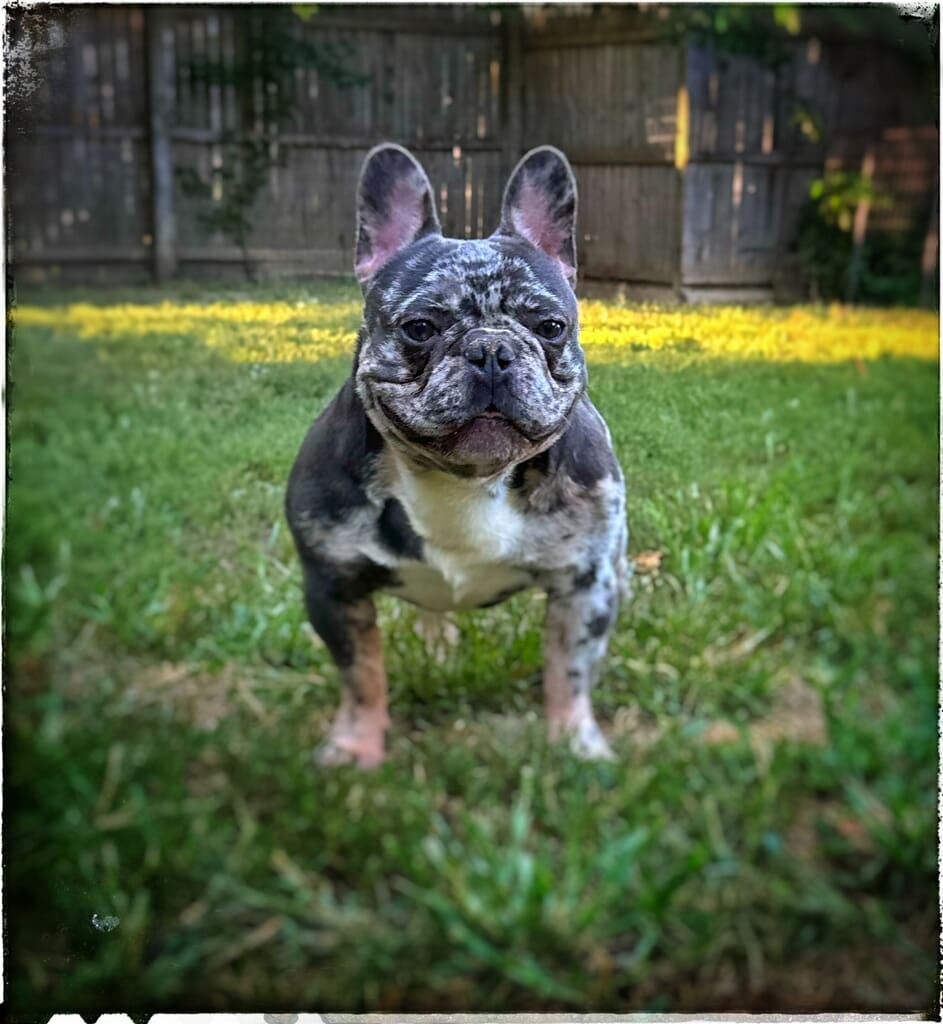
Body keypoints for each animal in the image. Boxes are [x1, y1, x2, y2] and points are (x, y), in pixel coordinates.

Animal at [282, 144, 630, 770]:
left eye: (551, 326)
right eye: (420, 327)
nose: (491, 349)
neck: (464, 479)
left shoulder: (583, 587)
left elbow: (569, 670)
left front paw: (575, 746)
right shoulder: (334, 587)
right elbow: (361, 675)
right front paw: (355, 747)